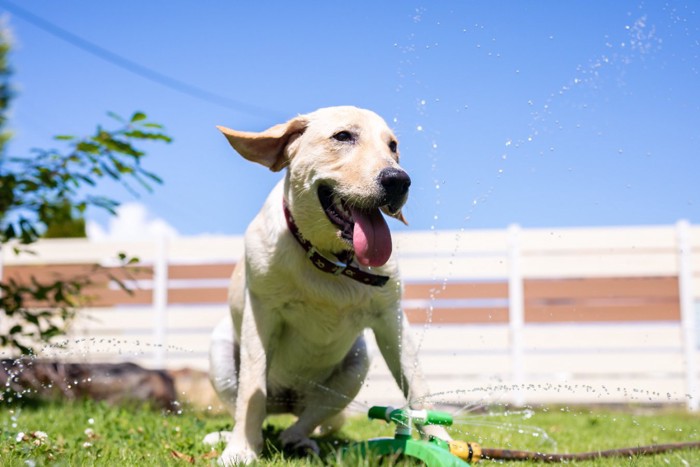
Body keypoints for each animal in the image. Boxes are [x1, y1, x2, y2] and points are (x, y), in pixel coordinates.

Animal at [208, 107, 448, 464]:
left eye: (392, 146)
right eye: (343, 136)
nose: (398, 180)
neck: (330, 259)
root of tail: (288, 402)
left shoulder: (392, 318)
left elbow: (418, 385)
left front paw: (442, 442)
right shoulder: (261, 312)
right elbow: (252, 390)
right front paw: (240, 450)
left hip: (358, 363)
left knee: (310, 419)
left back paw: (299, 439)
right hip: (220, 352)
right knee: (248, 405)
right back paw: (231, 435)